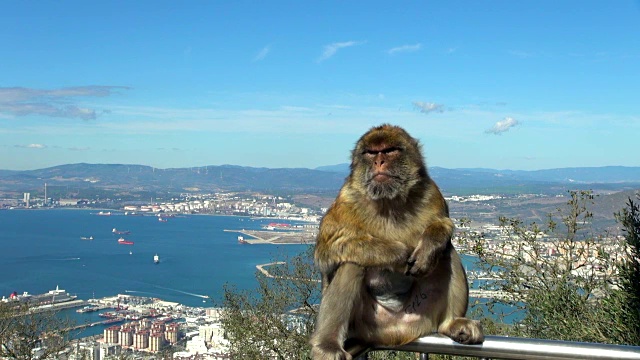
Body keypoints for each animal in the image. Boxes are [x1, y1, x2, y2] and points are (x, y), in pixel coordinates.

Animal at [308, 124, 480, 360]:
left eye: (389, 150)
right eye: (371, 153)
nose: (379, 162)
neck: (389, 201)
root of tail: (394, 334)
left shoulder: (430, 191)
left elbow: (442, 224)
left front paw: (428, 247)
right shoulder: (346, 199)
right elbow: (327, 250)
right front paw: (398, 253)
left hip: (420, 314)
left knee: (446, 252)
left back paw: (451, 323)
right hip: (366, 323)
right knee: (351, 264)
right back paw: (327, 344)